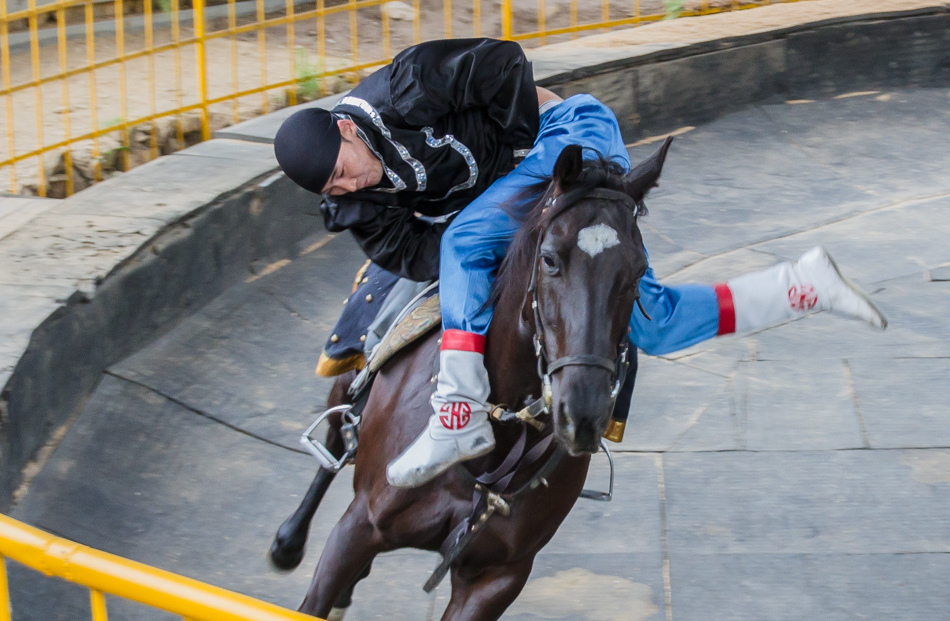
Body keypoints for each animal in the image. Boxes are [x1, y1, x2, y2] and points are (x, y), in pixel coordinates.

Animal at [272, 140, 672, 620]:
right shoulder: (358, 527)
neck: (496, 445)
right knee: (334, 436)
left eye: (637, 272)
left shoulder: (496, 577)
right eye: (550, 259)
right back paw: (289, 540)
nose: (583, 413)